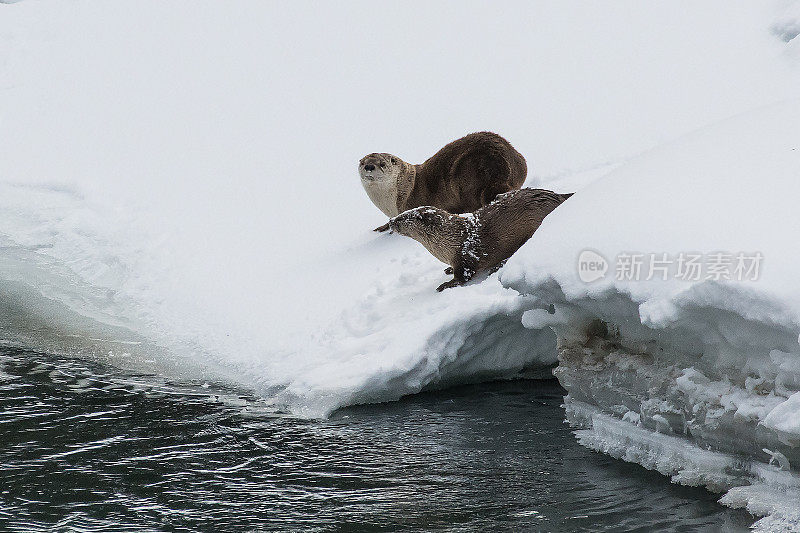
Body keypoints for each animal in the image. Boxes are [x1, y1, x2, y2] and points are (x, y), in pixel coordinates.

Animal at [390, 188, 572, 290]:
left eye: (402, 218)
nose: (391, 221)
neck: (449, 241)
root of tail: (558, 197)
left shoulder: (465, 257)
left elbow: (463, 277)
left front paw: (446, 284)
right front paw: (448, 270)